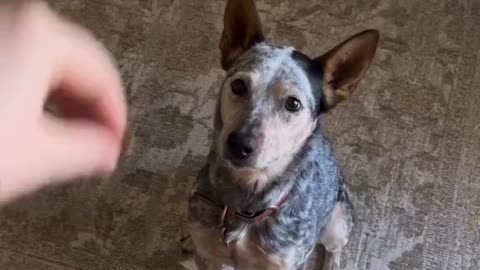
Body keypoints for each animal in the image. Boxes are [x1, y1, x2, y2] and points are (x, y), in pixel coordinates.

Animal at [185, 1, 378, 268]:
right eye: (238, 85)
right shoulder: (209, 253)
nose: (239, 144)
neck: (243, 206)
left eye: (293, 104)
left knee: (334, 248)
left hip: (337, 224)